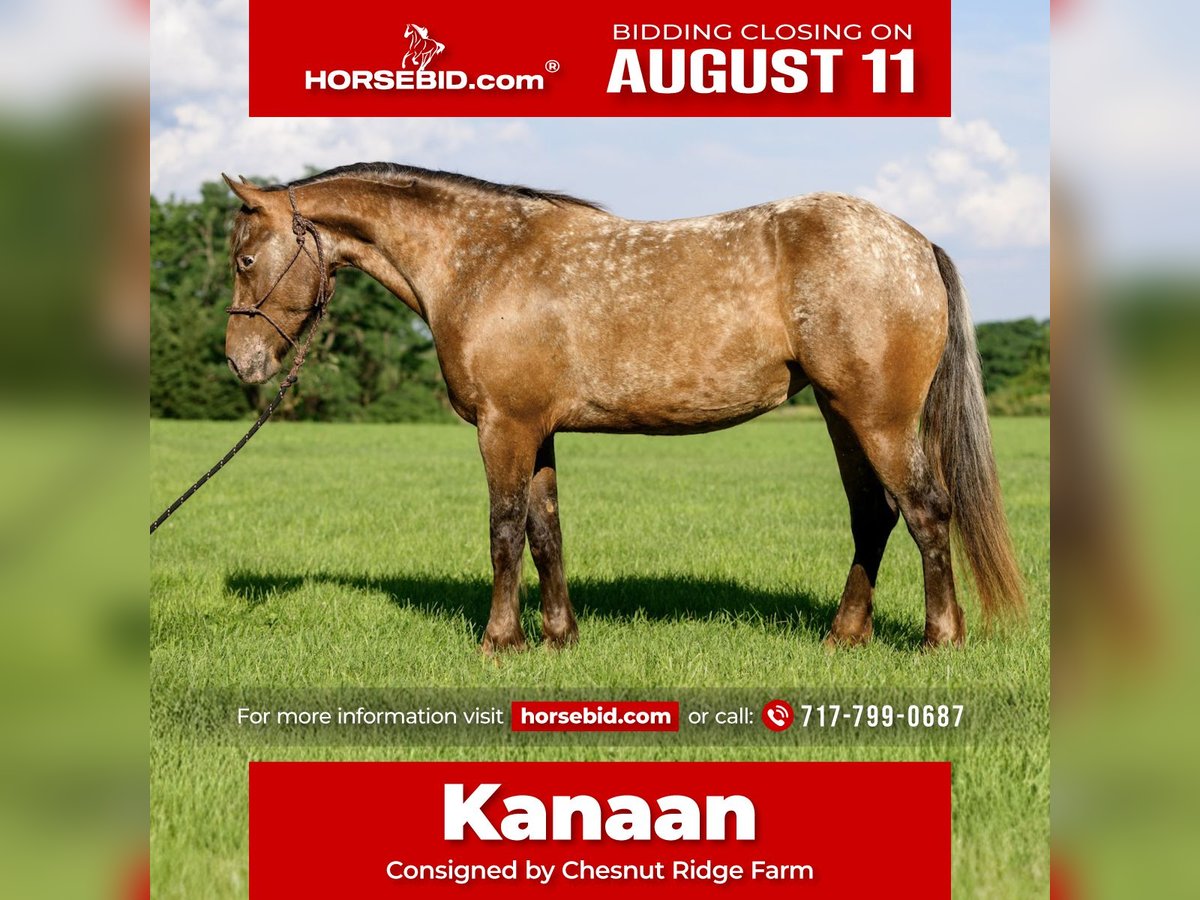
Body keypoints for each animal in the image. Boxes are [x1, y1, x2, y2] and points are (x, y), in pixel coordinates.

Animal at [221, 163, 1024, 652]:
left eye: (245, 259)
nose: (240, 361)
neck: (483, 260)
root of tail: (914, 243)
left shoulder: (503, 428)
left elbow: (504, 531)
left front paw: (499, 640)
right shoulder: (536, 430)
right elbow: (545, 531)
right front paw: (559, 637)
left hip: (879, 417)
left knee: (926, 510)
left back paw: (939, 638)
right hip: (840, 413)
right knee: (874, 516)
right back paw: (844, 635)